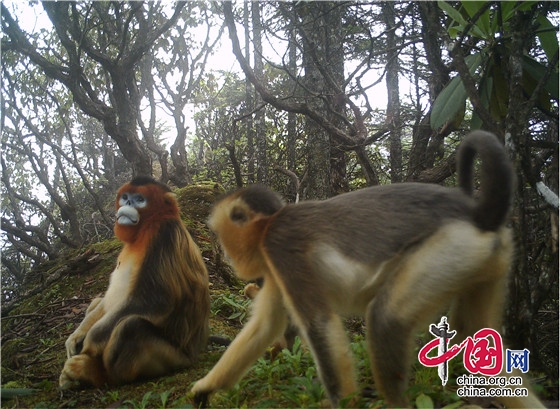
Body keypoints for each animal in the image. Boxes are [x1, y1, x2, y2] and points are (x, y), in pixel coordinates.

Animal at [59, 176, 210, 388]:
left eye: (140, 199)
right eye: (125, 197)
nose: (128, 203)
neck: (146, 229)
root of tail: (196, 352)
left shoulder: (164, 235)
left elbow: (155, 301)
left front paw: (89, 342)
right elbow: (106, 301)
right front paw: (76, 336)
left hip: (175, 358)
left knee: (131, 327)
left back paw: (95, 373)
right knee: (100, 304)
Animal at [192, 131, 544, 408]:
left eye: (223, 237)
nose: (229, 258)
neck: (271, 224)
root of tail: (478, 216)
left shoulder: (280, 246)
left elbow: (320, 325)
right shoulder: (274, 263)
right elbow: (266, 325)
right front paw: (204, 388)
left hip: (449, 249)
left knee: (387, 319)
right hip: (488, 260)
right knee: (474, 331)